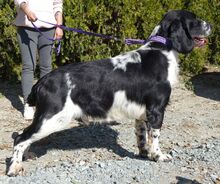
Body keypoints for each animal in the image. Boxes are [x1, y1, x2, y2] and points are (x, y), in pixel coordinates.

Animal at [7, 9, 212, 175]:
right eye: (194, 20)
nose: (210, 25)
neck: (162, 50)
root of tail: (42, 81)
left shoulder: (142, 113)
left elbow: (141, 136)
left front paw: (144, 154)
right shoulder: (156, 109)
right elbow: (155, 136)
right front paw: (159, 156)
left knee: (23, 134)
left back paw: (26, 156)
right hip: (52, 118)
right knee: (20, 138)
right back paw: (14, 168)